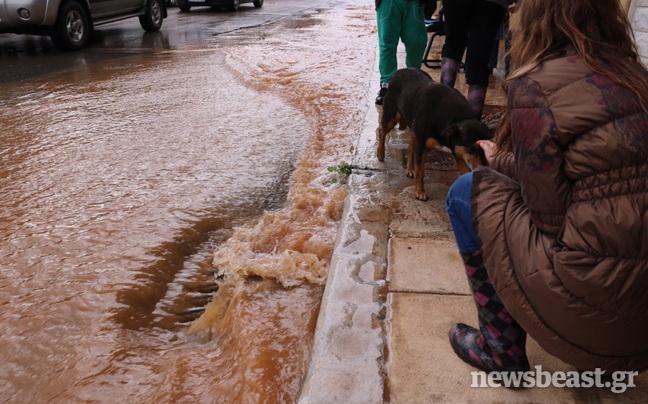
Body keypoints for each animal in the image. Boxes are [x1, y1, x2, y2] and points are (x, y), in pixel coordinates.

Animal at [374, 69, 492, 202]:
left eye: (485, 149)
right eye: (471, 148)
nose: (484, 170)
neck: (458, 118)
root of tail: (400, 71)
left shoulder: (459, 153)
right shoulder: (422, 145)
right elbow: (420, 171)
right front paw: (420, 192)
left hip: (413, 129)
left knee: (409, 148)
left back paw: (409, 169)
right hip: (391, 116)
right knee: (382, 132)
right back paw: (380, 153)